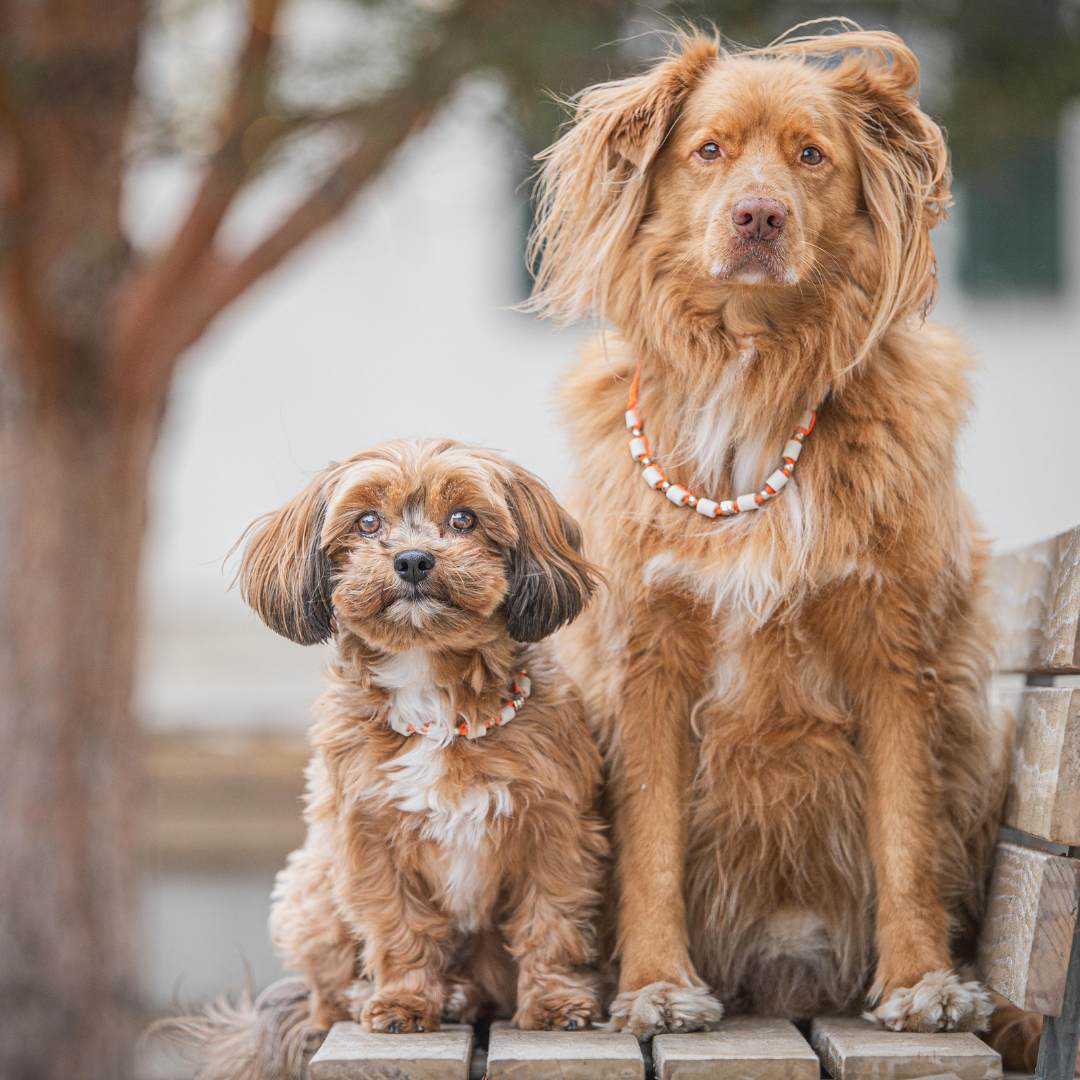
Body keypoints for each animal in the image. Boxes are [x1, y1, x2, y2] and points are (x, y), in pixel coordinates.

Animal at [168, 440, 609, 1080]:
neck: (437, 702)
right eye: (368, 522)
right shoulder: (368, 839)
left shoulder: (555, 830)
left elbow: (549, 921)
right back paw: (379, 997)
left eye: (464, 519)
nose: (414, 560)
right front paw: (403, 1002)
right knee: (326, 996)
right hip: (311, 886)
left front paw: (555, 1003)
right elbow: (399, 928)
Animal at [527, 23, 1023, 1062]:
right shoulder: (648, 656)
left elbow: (906, 834)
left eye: (811, 155)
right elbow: (651, 839)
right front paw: (657, 987)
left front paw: (920, 984)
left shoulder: (896, 648)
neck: (753, 373)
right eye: (708, 149)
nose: (758, 216)